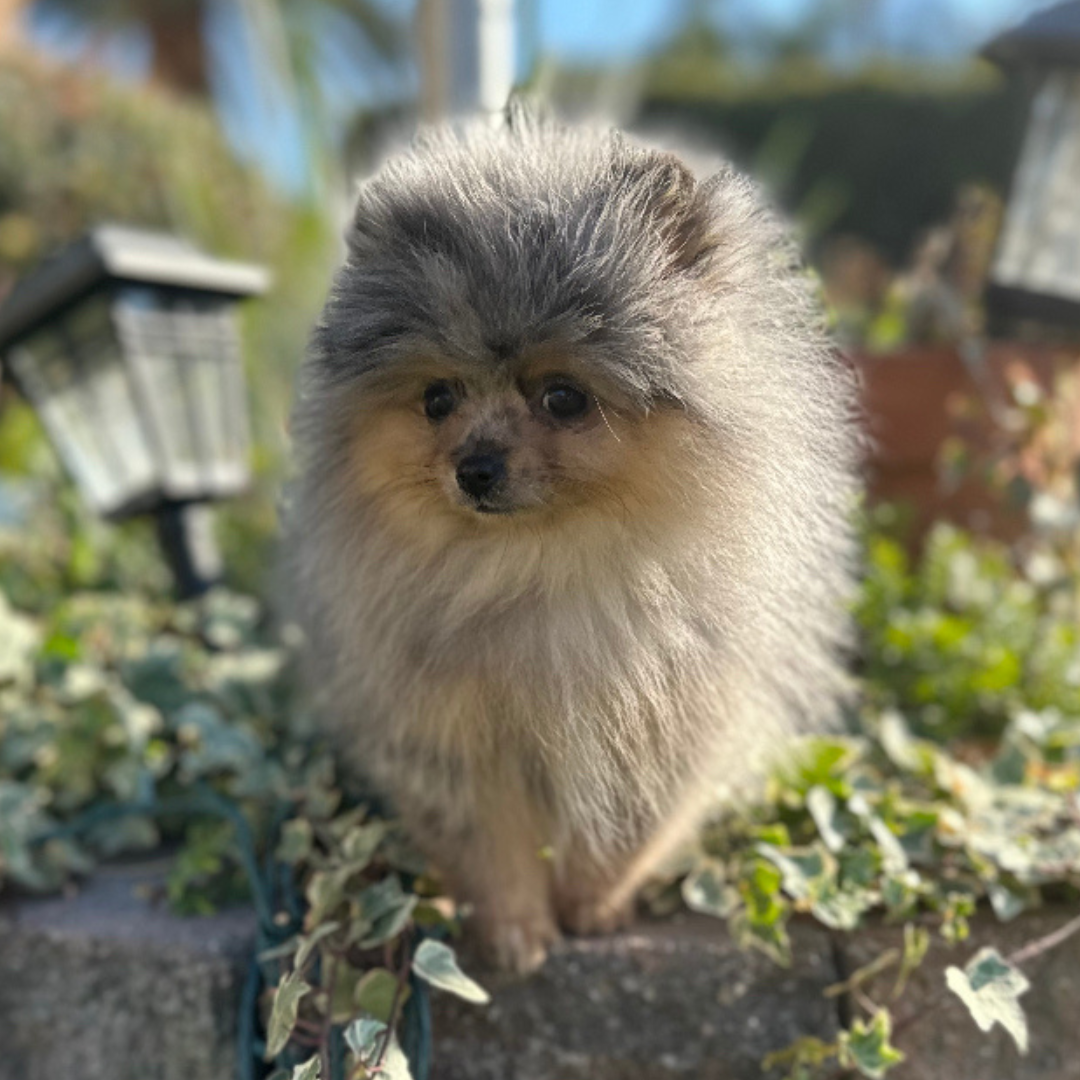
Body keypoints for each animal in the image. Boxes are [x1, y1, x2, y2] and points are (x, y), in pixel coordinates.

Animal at [289, 107, 859, 972]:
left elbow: (625, 831)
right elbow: (491, 845)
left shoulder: (663, 719)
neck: (539, 569)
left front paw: (594, 906)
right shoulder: (451, 735)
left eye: (564, 398)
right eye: (437, 398)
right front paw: (518, 931)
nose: (475, 467)